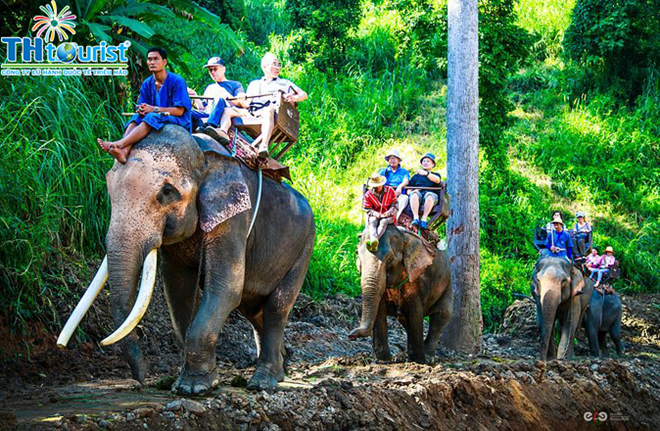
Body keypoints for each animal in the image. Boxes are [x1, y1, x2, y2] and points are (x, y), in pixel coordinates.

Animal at [348, 226, 452, 364]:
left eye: (390, 259)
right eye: (357, 254)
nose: (351, 336)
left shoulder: (417, 278)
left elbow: (415, 313)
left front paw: (418, 361)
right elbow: (379, 310)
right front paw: (384, 360)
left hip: (448, 283)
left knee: (442, 315)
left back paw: (428, 358)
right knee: (405, 319)